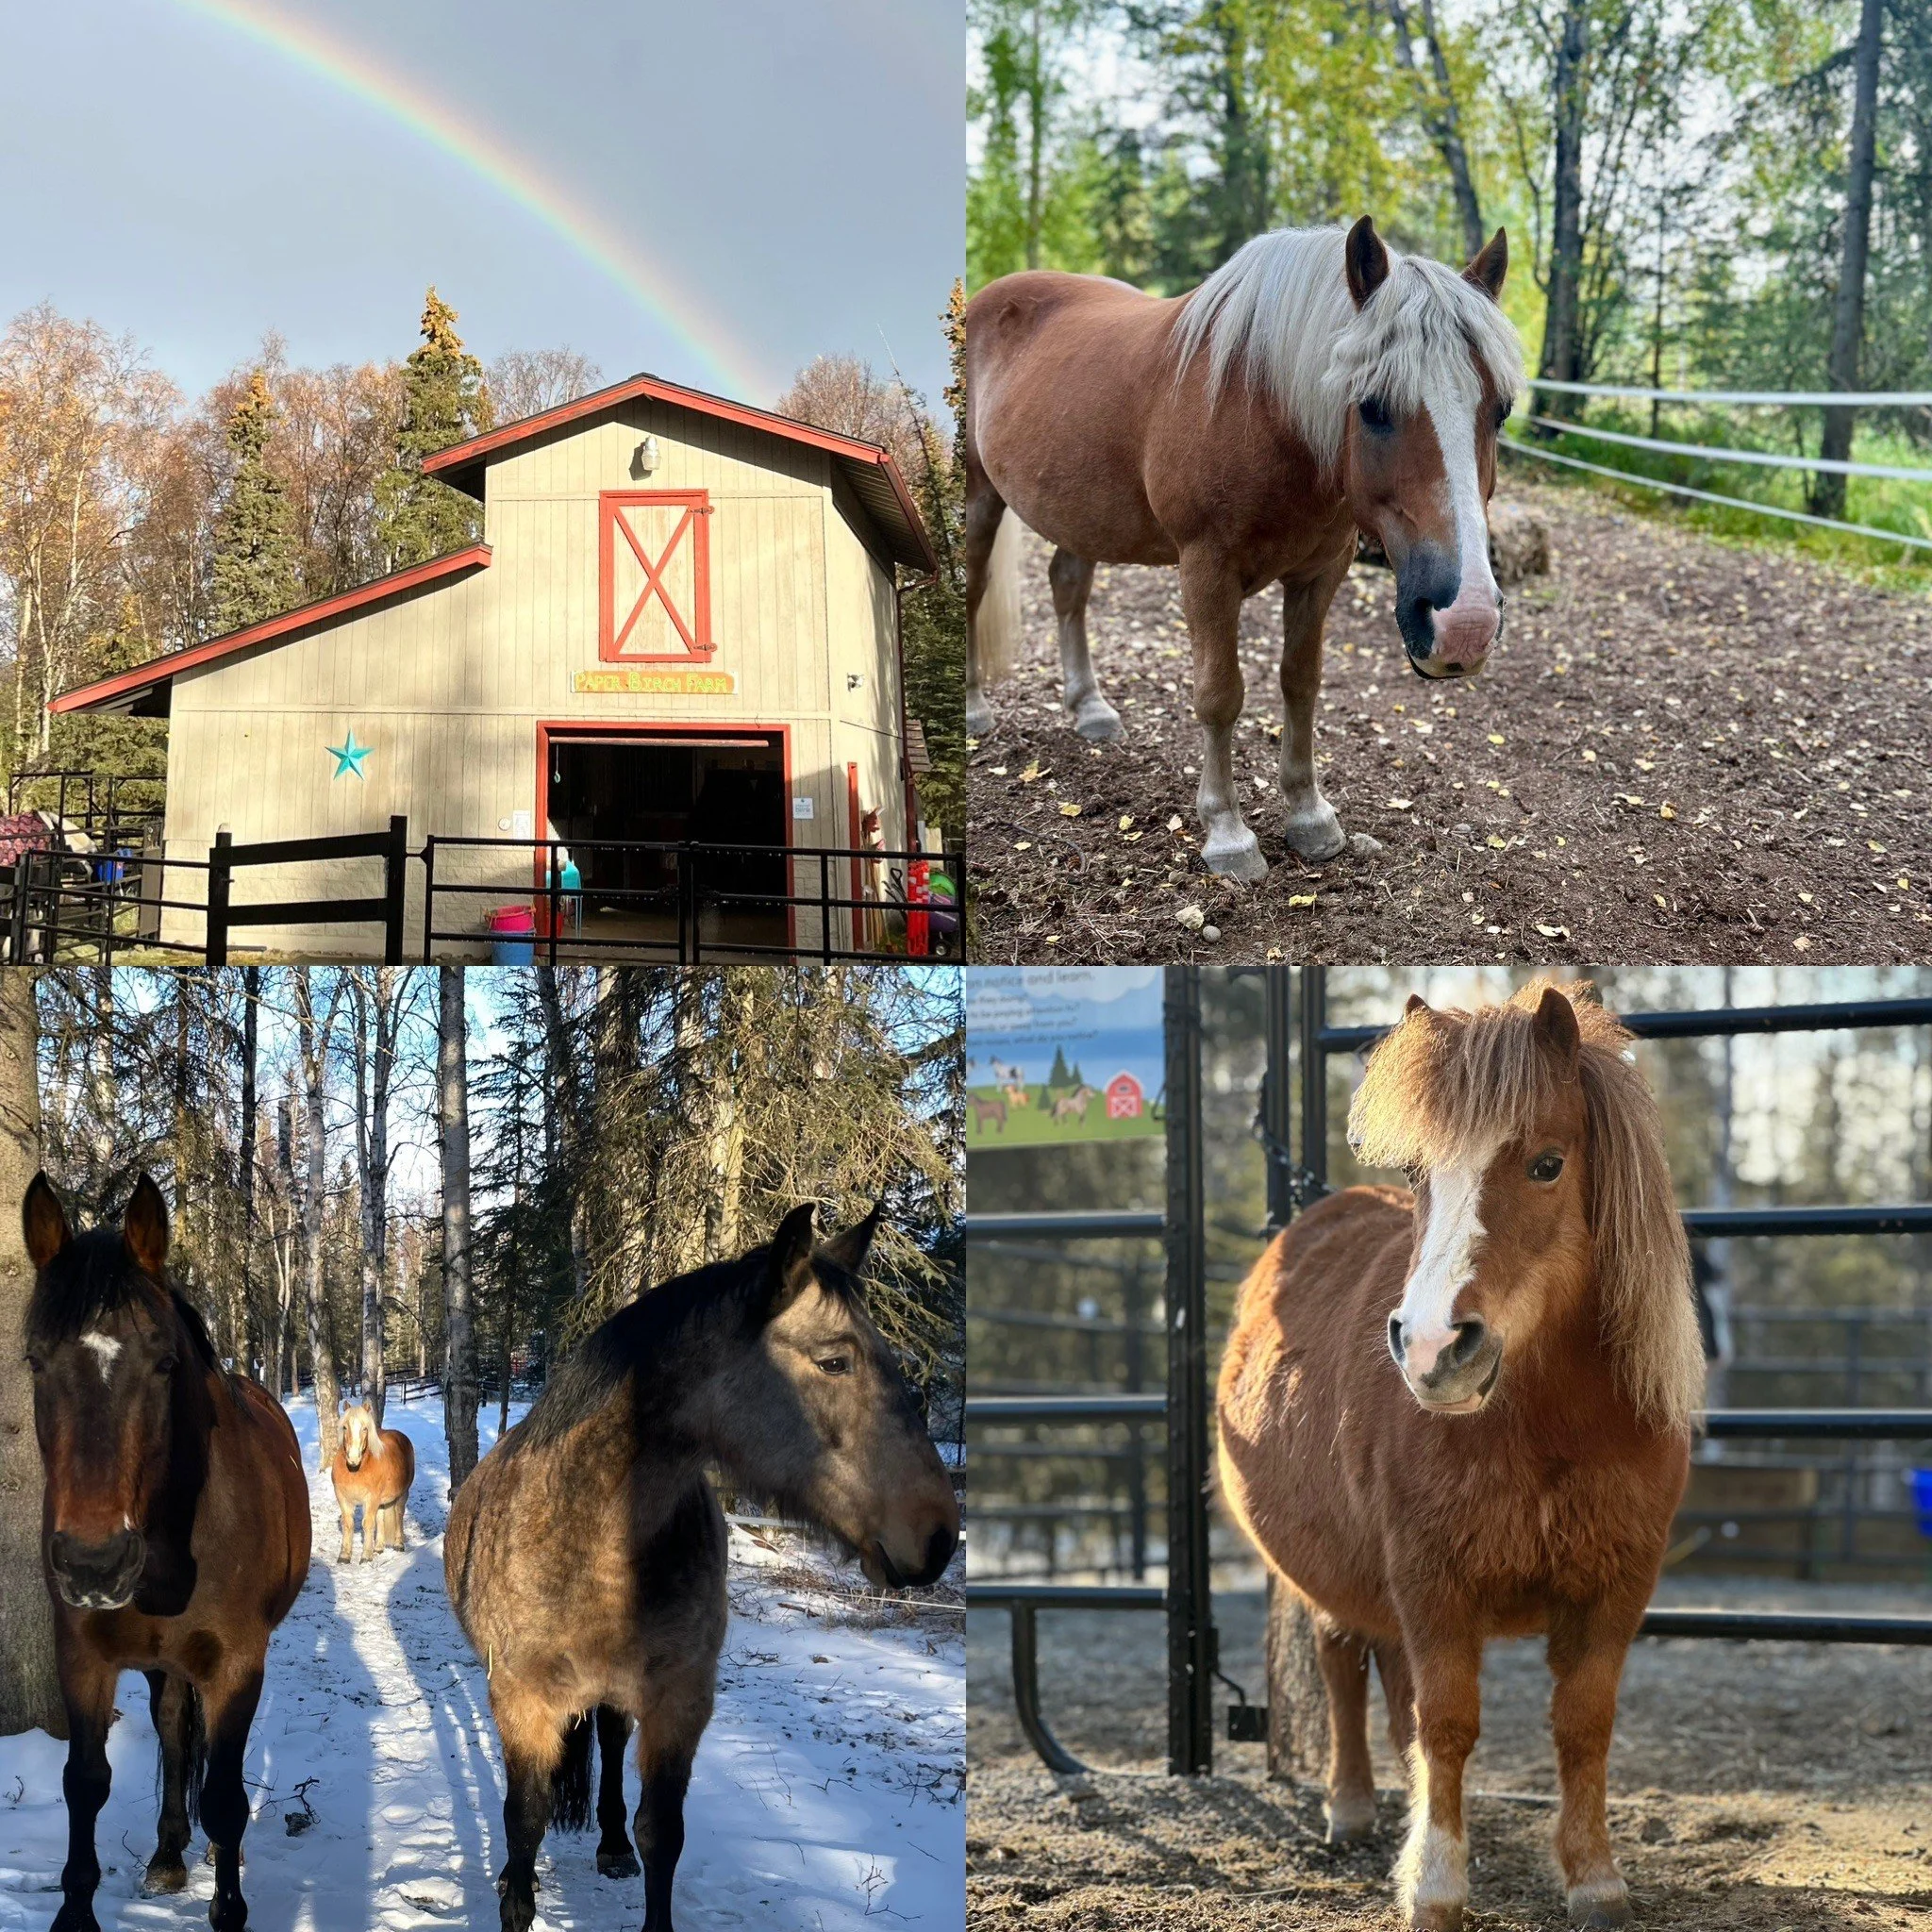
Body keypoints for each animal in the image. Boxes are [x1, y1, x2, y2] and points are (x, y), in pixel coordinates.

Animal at [20, 1173, 311, 1932]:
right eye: (35, 1359)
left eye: (164, 1363)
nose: (93, 1564)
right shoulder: (83, 1655)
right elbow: (85, 1784)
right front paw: (77, 1911)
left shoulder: (237, 1663)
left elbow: (229, 1800)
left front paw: (228, 1906)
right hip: (157, 1663)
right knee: (175, 1731)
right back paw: (169, 1852)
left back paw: (206, 1850)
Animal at [330, 1398, 416, 1563]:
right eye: (344, 1427)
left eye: (365, 1428)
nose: (353, 1458)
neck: (356, 1470)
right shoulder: (343, 1498)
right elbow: (348, 1523)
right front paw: (344, 1555)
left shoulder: (370, 1499)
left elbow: (368, 1523)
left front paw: (365, 1556)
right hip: (382, 1501)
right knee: (381, 1518)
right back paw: (378, 1547)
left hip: (402, 1494)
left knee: (398, 1514)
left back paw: (398, 1544)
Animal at [444, 1202, 960, 1932]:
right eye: (834, 1362)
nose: (938, 1534)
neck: (586, 1544)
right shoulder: (520, 1698)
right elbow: (525, 1817)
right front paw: (515, 1896)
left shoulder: (680, 1699)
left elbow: (661, 1832)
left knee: (610, 1741)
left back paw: (610, 1846)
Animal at [966, 216, 1525, 879]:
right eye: (1371, 406)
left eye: (1500, 411)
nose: (1465, 626)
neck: (1262, 407)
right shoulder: (1207, 569)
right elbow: (1219, 695)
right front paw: (1228, 833)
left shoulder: (1320, 573)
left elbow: (1301, 683)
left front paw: (1309, 815)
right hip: (979, 496)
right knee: (973, 589)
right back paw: (973, 709)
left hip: (1080, 512)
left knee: (1068, 588)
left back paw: (1089, 708)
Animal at [1216, 983, 1705, 1931]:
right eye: (1419, 1177)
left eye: (1548, 1164)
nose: (1433, 1347)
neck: (1550, 1428)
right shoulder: (1431, 1580)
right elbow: (1445, 1723)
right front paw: (1436, 1885)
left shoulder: (1616, 1587)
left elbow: (1582, 1724)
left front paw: (1594, 1878)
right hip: (1336, 1579)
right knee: (1344, 1668)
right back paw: (1352, 1812)